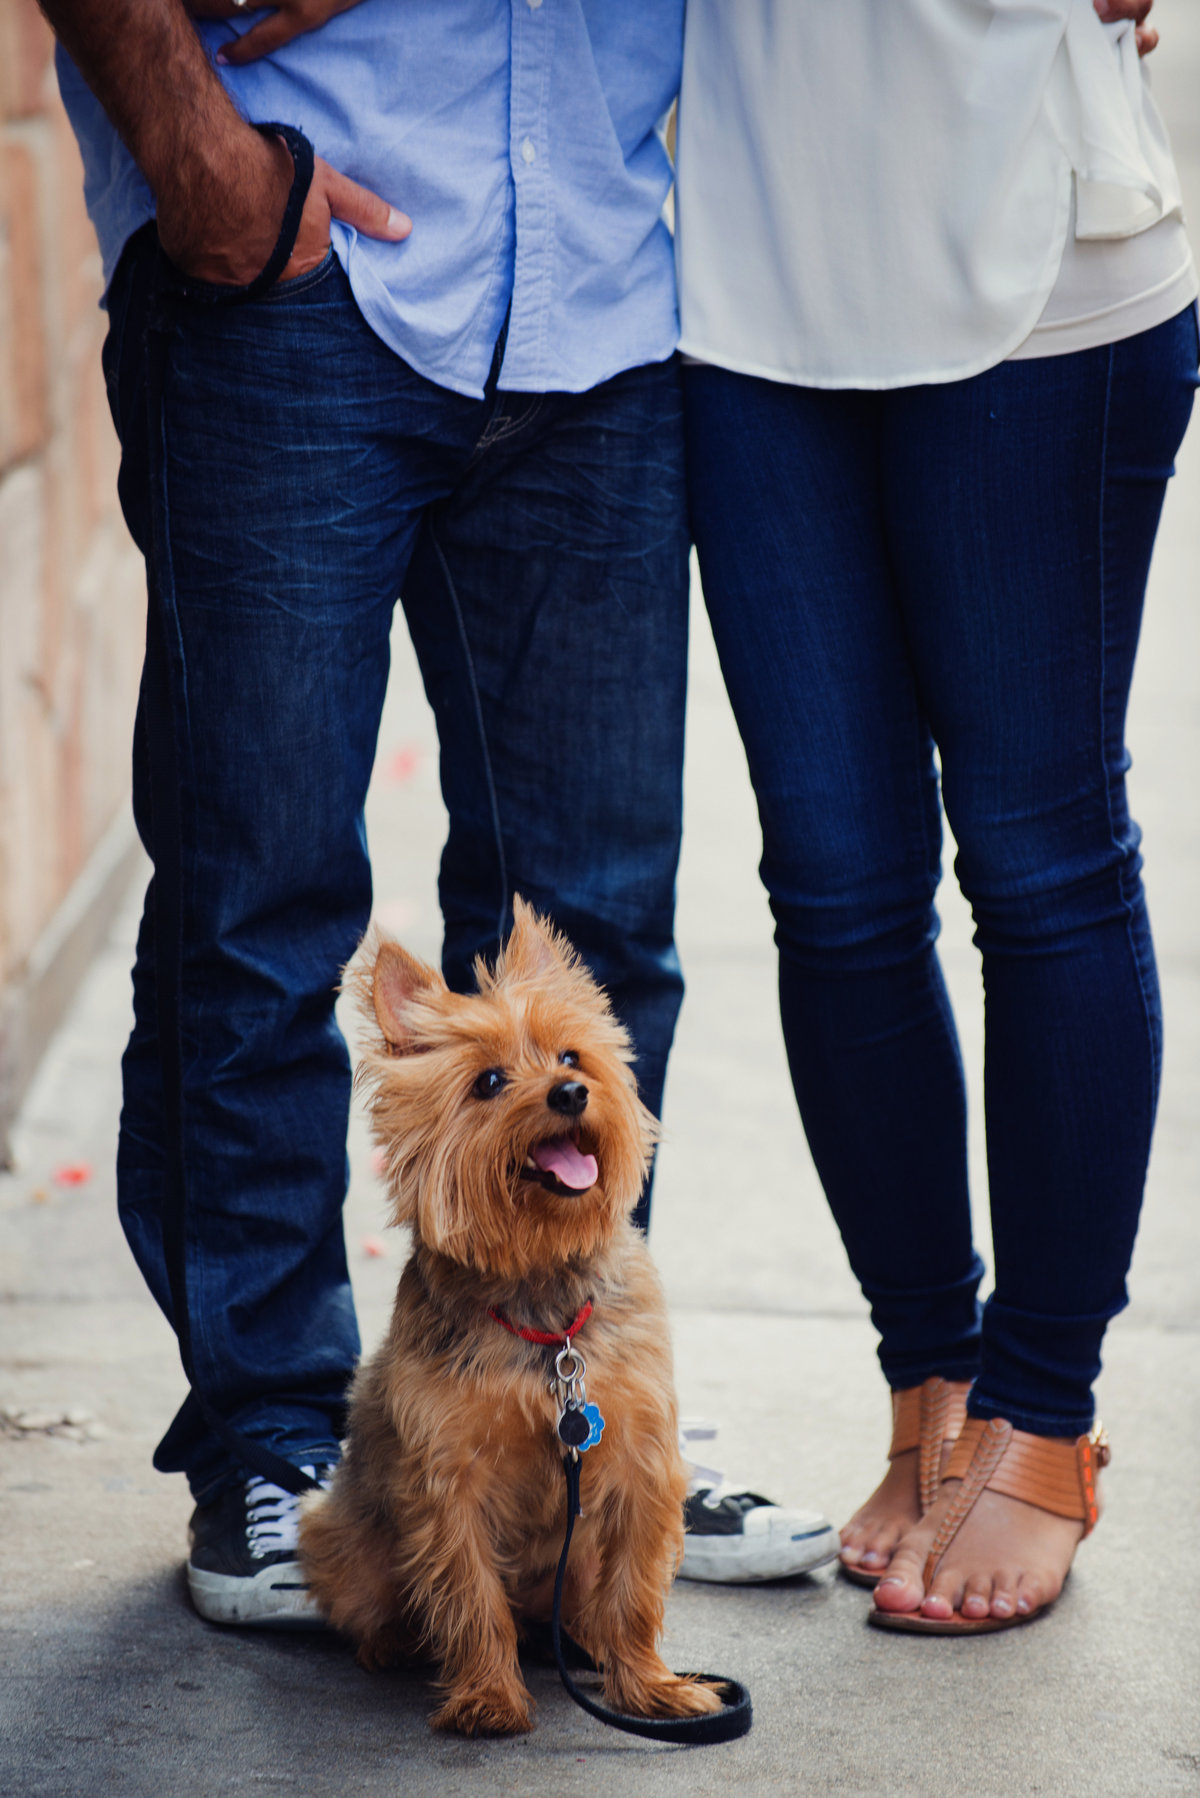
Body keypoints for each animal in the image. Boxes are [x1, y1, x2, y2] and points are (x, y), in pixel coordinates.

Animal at [298, 906, 723, 1733]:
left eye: (571, 1055)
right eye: (489, 1082)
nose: (569, 1092)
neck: (542, 1300)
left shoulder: (638, 1466)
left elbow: (632, 1592)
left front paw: (648, 1686)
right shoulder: (449, 1483)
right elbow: (470, 1597)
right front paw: (489, 1696)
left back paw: (585, 1641)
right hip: (337, 1534)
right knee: (380, 1601)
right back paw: (392, 1644)